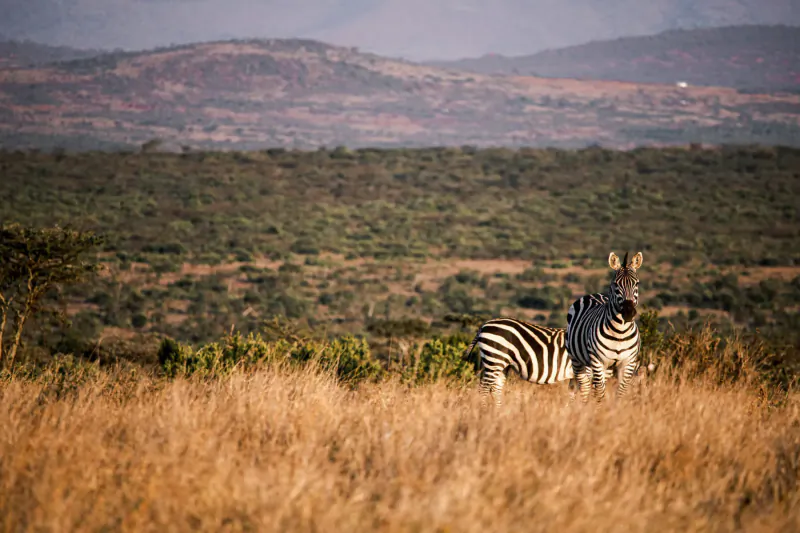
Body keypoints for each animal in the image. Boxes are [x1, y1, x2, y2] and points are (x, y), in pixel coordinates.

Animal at [462, 317, 618, 407]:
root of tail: (484, 325)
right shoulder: (588, 372)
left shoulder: (576, 375)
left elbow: (573, 394)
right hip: (494, 358)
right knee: (484, 388)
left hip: (501, 364)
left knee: (495, 388)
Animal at [566, 251, 643, 404]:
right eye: (615, 284)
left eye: (636, 283)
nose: (629, 312)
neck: (620, 332)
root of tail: (593, 294)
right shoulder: (598, 362)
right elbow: (600, 394)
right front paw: (599, 410)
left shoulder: (628, 363)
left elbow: (620, 393)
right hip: (577, 360)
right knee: (584, 386)